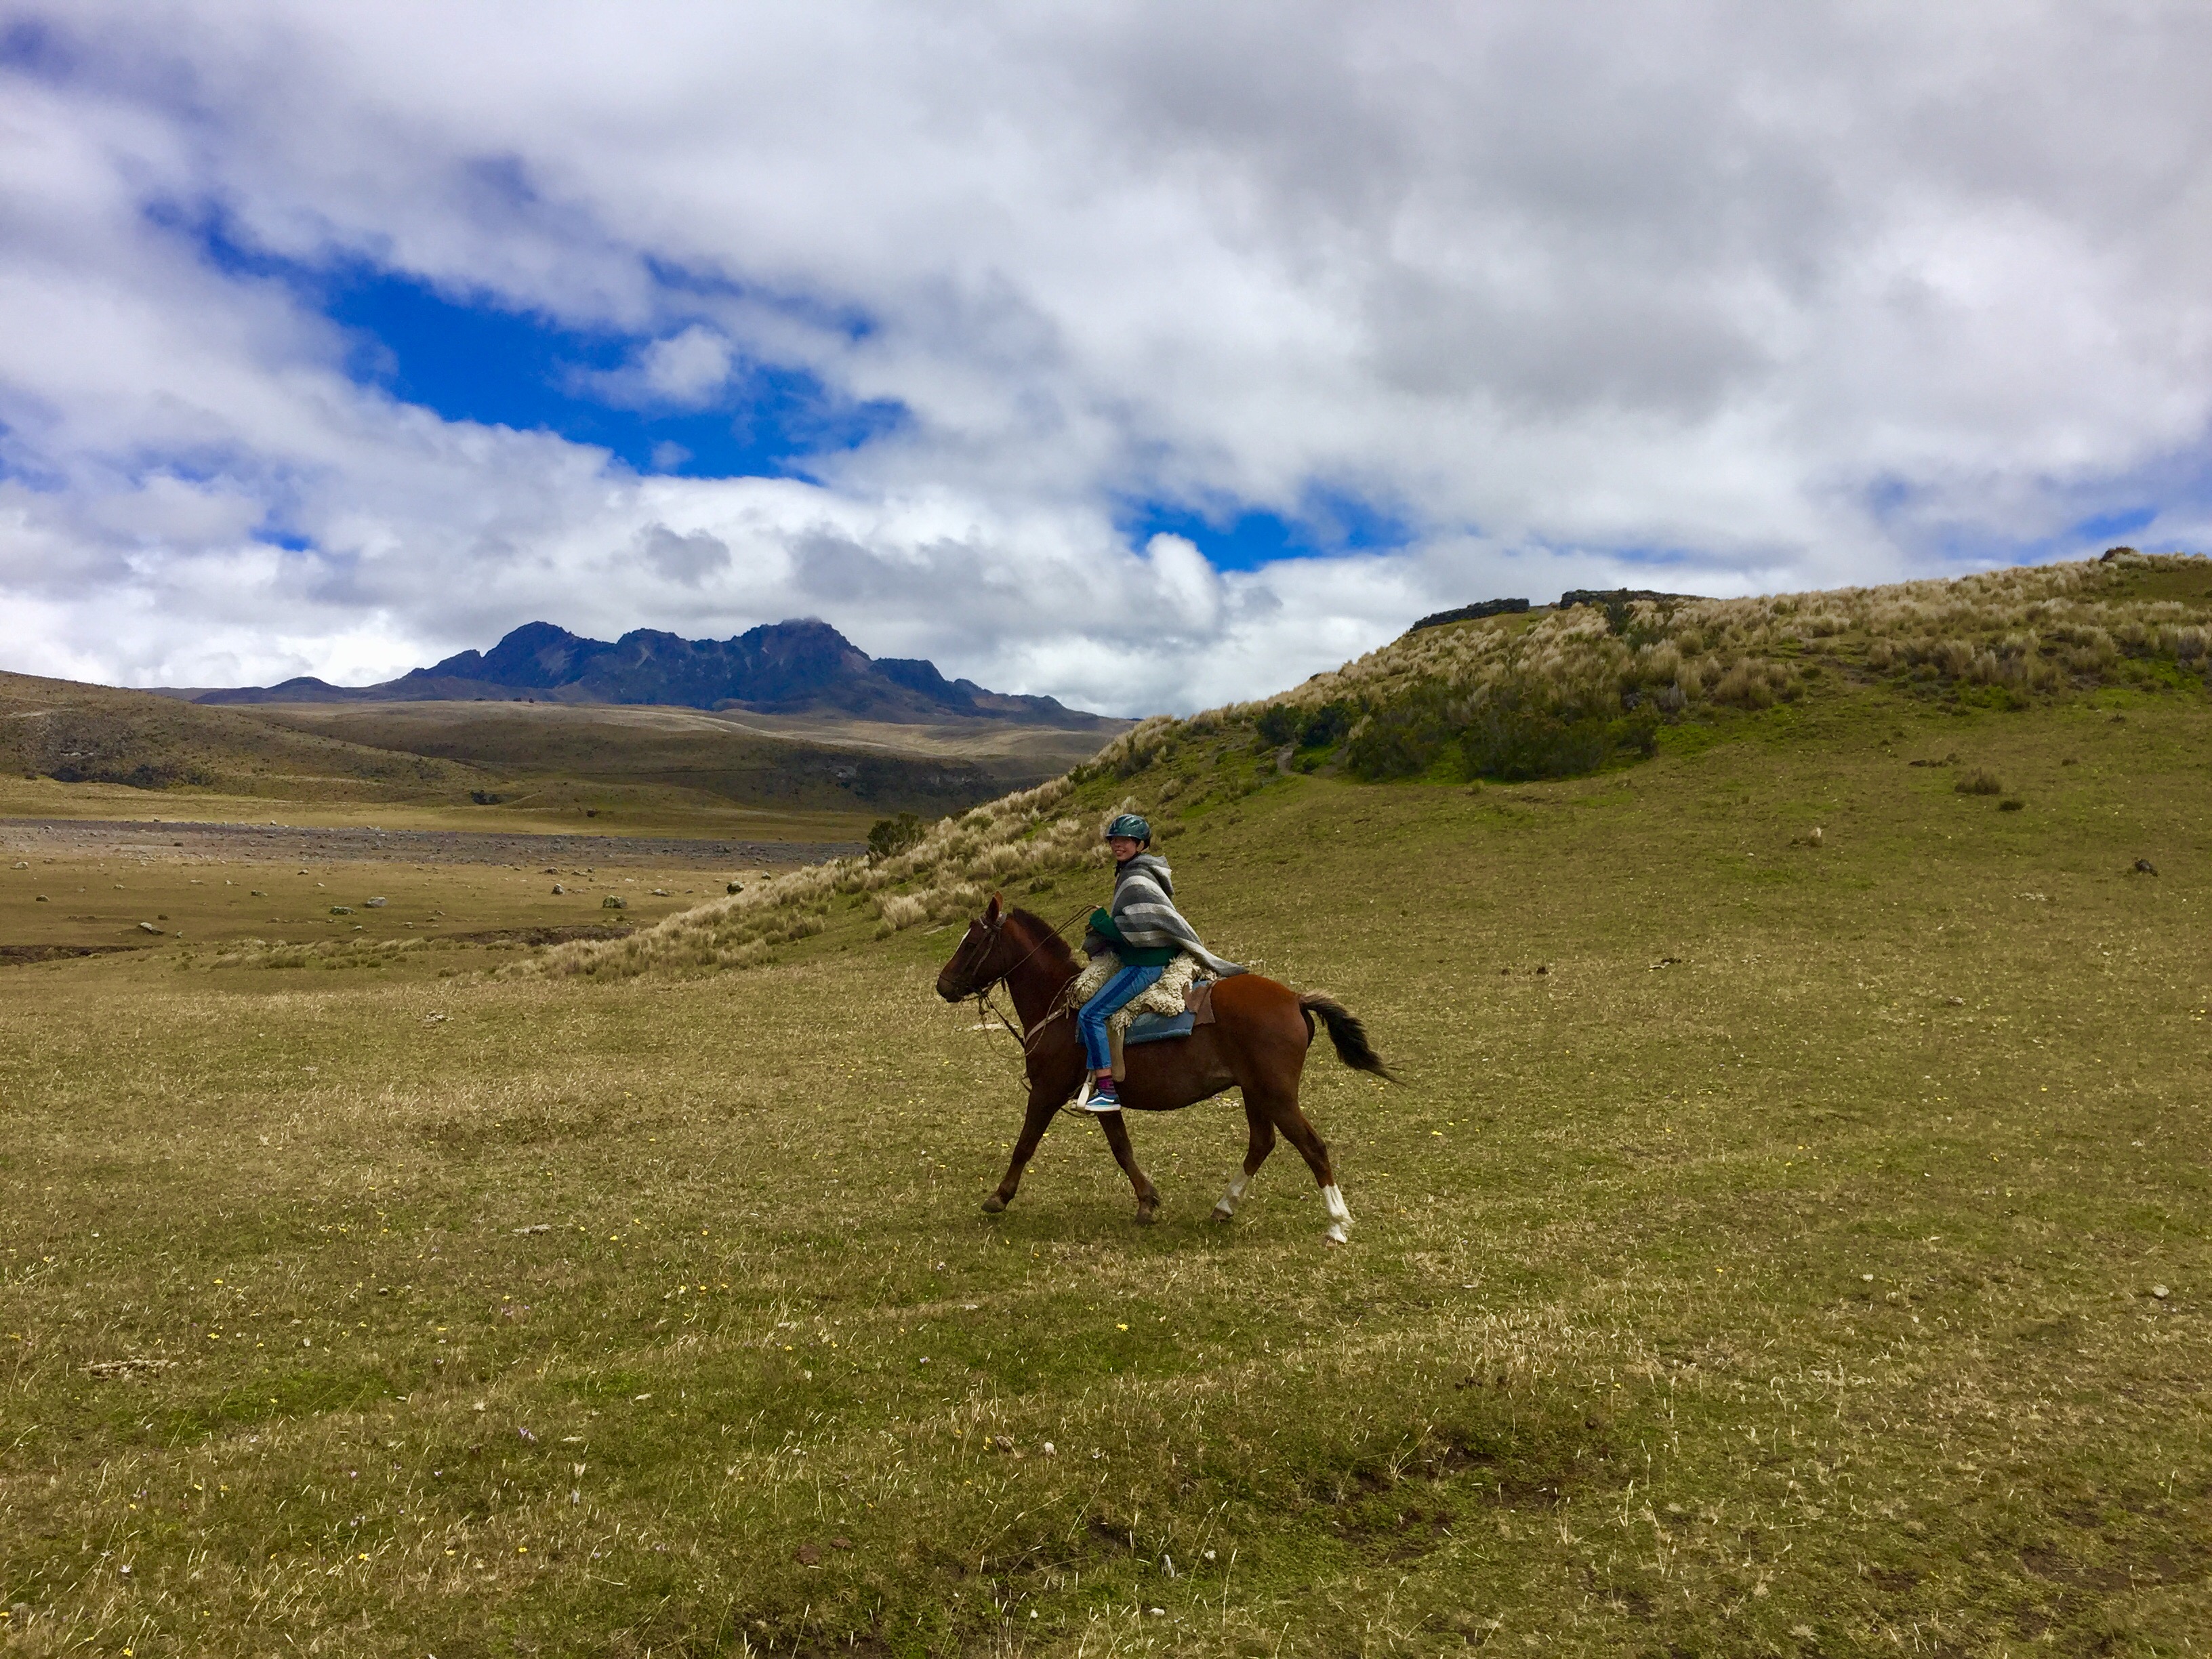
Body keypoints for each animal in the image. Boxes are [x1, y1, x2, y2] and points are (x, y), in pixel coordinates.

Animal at [937, 902, 1397, 1238]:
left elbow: (1025, 1145)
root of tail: (1295, 999)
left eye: (972, 943)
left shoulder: (1046, 1091)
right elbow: (1122, 1148)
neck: (1062, 1009)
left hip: (1277, 1095)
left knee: (1312, 1146)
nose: (942, 985)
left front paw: (999, 1197)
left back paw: (1337, 1223)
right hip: (1255, 1092)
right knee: (1261, 1143)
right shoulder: (1103, 1099)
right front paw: (1147, 1202)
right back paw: (1224, 1206)